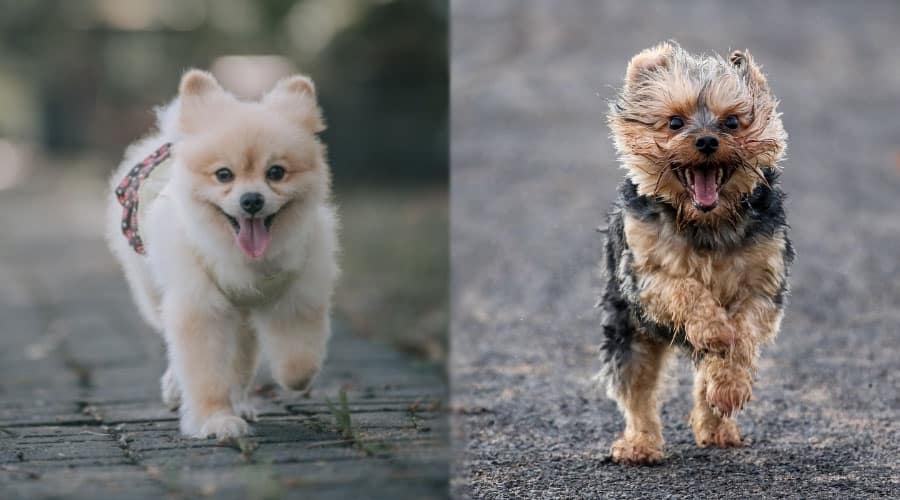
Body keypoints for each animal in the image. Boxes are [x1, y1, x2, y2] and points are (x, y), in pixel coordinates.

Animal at [107, 69, 340, 438]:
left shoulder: (298, 295)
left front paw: (287, 380)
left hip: (242, 317)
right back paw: (177, 387)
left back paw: (241, 401)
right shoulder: (201, 307)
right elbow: (205, 374)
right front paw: (216, 419)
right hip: (153, 291)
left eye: (276, 172)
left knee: (241, 359)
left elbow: (298, 365)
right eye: (223, 175)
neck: (248, 262)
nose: (251, 200)